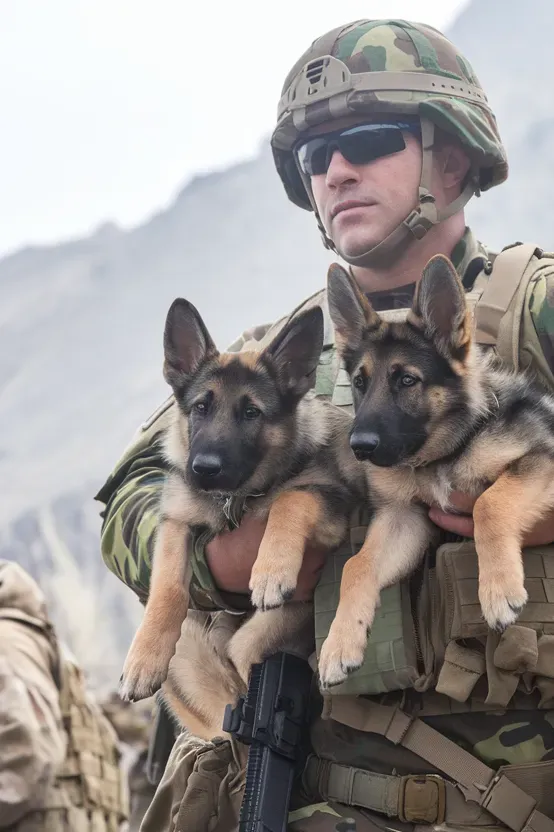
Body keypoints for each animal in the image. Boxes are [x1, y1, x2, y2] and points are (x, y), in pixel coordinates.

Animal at [118, 296, 364, 700]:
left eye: (251, 413)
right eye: (200, 407)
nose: (203, 469)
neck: (234, 499)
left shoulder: (332, 502)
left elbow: (288, 500)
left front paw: (271, 570)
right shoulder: (176, 520)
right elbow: (167, 586)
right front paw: (144, 659)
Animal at [320, 252, 554, 688]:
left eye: (407, 380)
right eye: (360, 383)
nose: (358, 447)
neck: (443, 453)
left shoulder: (541, 458)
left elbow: (489, 505)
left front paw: (498, 587)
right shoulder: (406, 518)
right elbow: (356, 565)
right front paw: (340, 642)